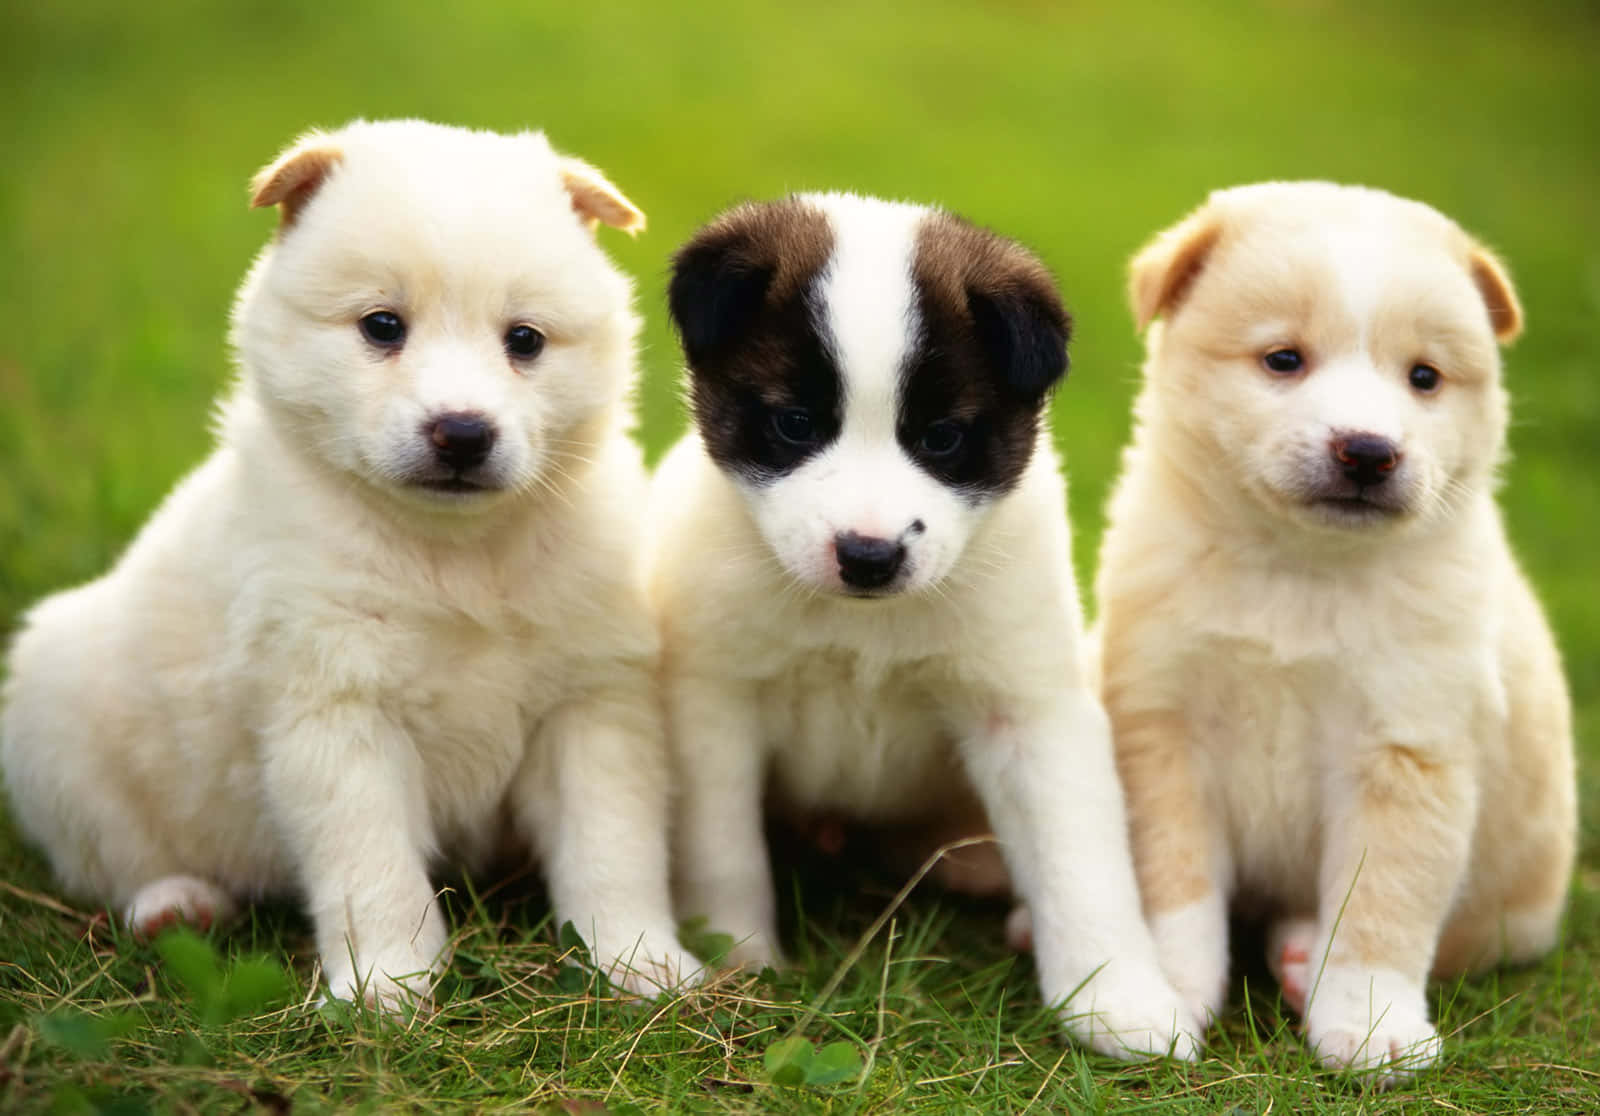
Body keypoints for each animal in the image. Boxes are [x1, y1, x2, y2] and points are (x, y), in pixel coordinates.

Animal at [3, 119, 697, 997]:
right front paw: (388, 989)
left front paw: (641, 963)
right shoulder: (336, 710)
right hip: (58, 723)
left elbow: (612, 848)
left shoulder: (592, 703)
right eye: (382, 327)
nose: (462, 432)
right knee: (117, 860)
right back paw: (177, 905)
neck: (453, 555)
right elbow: (374, 870)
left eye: (525, 340)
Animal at [649, 195, 1203, 1055]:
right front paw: (742, 958)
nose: (869, 555)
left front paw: (1118, 998)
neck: (863, 626)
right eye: (795, 423)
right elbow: (724, 849)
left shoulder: (1028, 708)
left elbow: (1082, 858)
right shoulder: (715, 703)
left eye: (942, 437)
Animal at [1100, 180, 1574, 1080]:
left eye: (1424, 377)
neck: (1302, 573)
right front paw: (1166, 990)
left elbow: (1381, 906)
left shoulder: (1407, 750)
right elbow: (1175, 888)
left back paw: (1298, 958)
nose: (1367, 450)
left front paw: (1370, 1023)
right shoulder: (1162, 732)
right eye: (1283, 359)